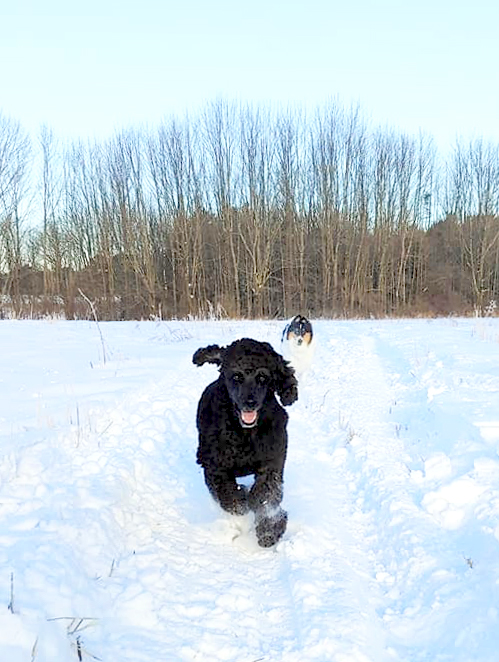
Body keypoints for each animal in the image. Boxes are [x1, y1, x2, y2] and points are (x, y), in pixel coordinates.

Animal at [193, 340, 298, 548]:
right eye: (236, 376)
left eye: (263, 377)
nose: (250, 402)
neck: (246, 433)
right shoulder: (215, 467)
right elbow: (230, 497)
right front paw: (242, 499)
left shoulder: (271, 463)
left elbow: (266, 496)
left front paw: (269, 531)